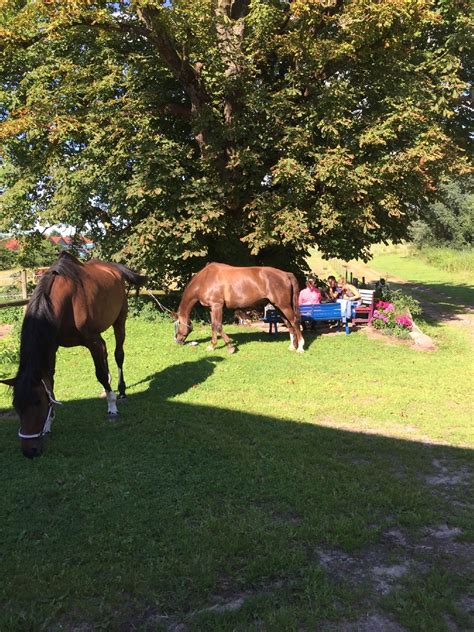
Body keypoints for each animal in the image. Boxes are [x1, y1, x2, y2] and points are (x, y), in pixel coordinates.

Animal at [0, 252, 144, 460]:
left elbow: (100, 373)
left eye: (37, 403)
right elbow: (49, 382)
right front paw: (49, 424)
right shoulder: (52, 345)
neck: (66, 302)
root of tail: (113, 268)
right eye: (16, 406)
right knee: (105, 350)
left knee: (118, 354)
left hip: (119, 320)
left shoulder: (91, 340)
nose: (29, 451)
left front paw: (112, 407)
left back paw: (121, 391)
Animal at [173, 260, 304, 354]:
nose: (177, 341)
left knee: (295, 322)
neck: (205, 279)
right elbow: (213, 326)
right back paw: (292, 346)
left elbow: (218, 326)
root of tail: (286, 274)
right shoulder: (211, 308)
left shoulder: (217, 306)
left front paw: (230, 347)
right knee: (288, 324)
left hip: (284, 306)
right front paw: (212, 346)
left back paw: (300, 348)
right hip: (279, 307)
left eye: (177, 324)